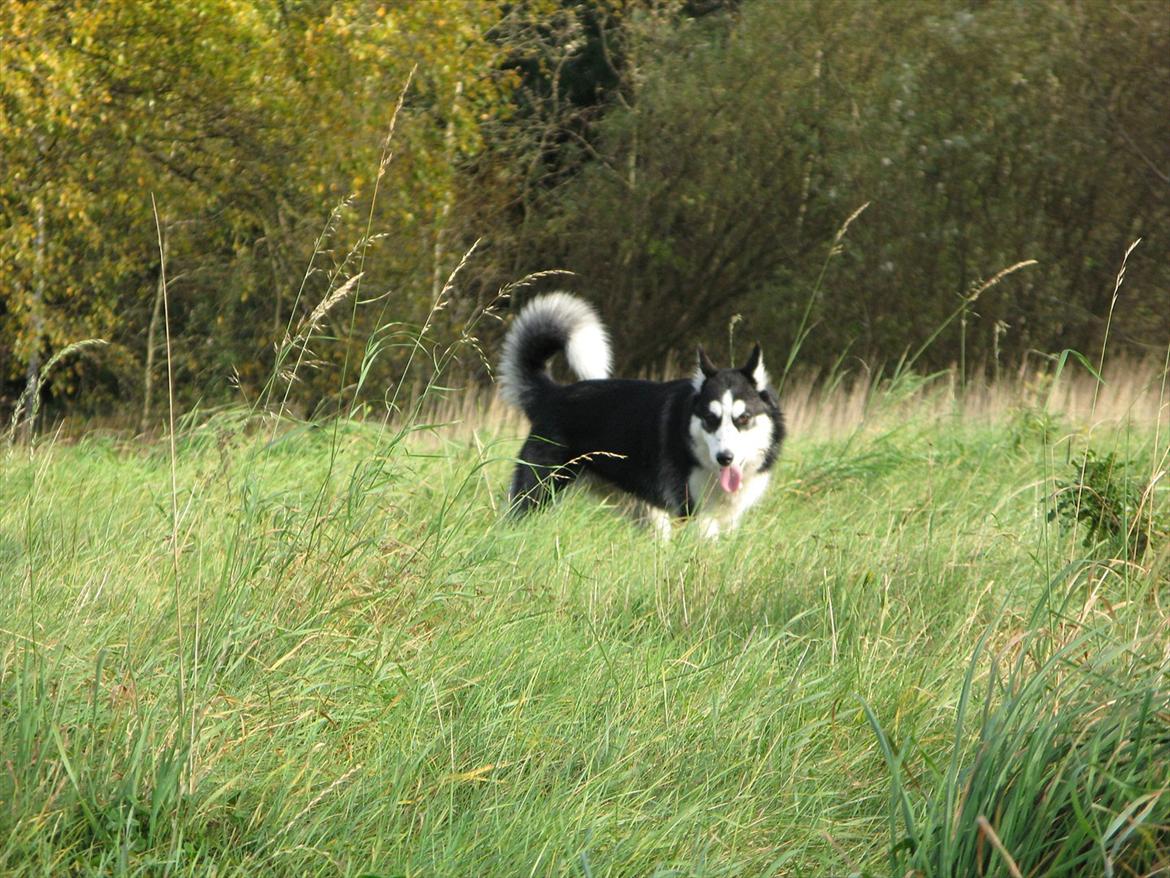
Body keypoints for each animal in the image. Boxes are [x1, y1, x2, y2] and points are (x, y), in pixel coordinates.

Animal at [496, 293, 786, 536]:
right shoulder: (691, 513)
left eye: (743, 418)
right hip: (538, 491)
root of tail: (552, 393)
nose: (725, 458)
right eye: (710, 419)